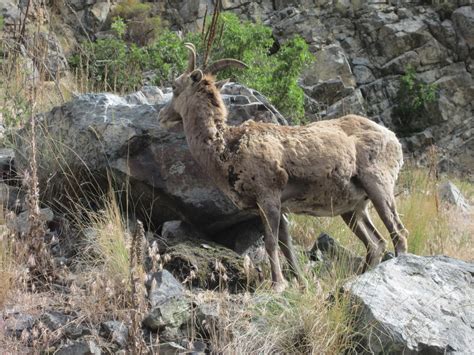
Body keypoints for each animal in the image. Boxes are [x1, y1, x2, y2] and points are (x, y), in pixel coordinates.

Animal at [161, 43, 410, 292]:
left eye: (174, 86)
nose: (162, 116)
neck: (227, 147)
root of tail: (392, 138)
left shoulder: (268, 197)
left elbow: (271, 243)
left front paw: (277, 285)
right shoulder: (280, 208)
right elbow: (286, 247)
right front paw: (301, 284)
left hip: (378, 185)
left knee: (399, 233)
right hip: (353, 208)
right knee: (376, 243)